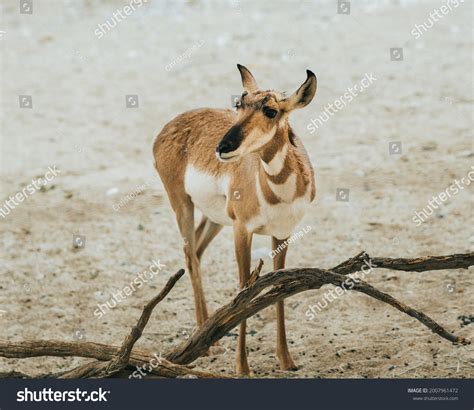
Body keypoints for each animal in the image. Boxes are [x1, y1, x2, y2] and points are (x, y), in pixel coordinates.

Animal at [154, 65, 316, 374]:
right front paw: (242, 367)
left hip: (215, 219)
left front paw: (286, 360)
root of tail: (172, 124)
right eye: (239, 104)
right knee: (190, 256)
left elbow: (280, 286)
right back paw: (206, 343)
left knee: (197, 251)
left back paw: (209, 338)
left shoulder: (282, 233)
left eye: (271, 110)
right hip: (182, 205)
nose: (223, 147)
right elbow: (244, 287)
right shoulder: (243, 230)